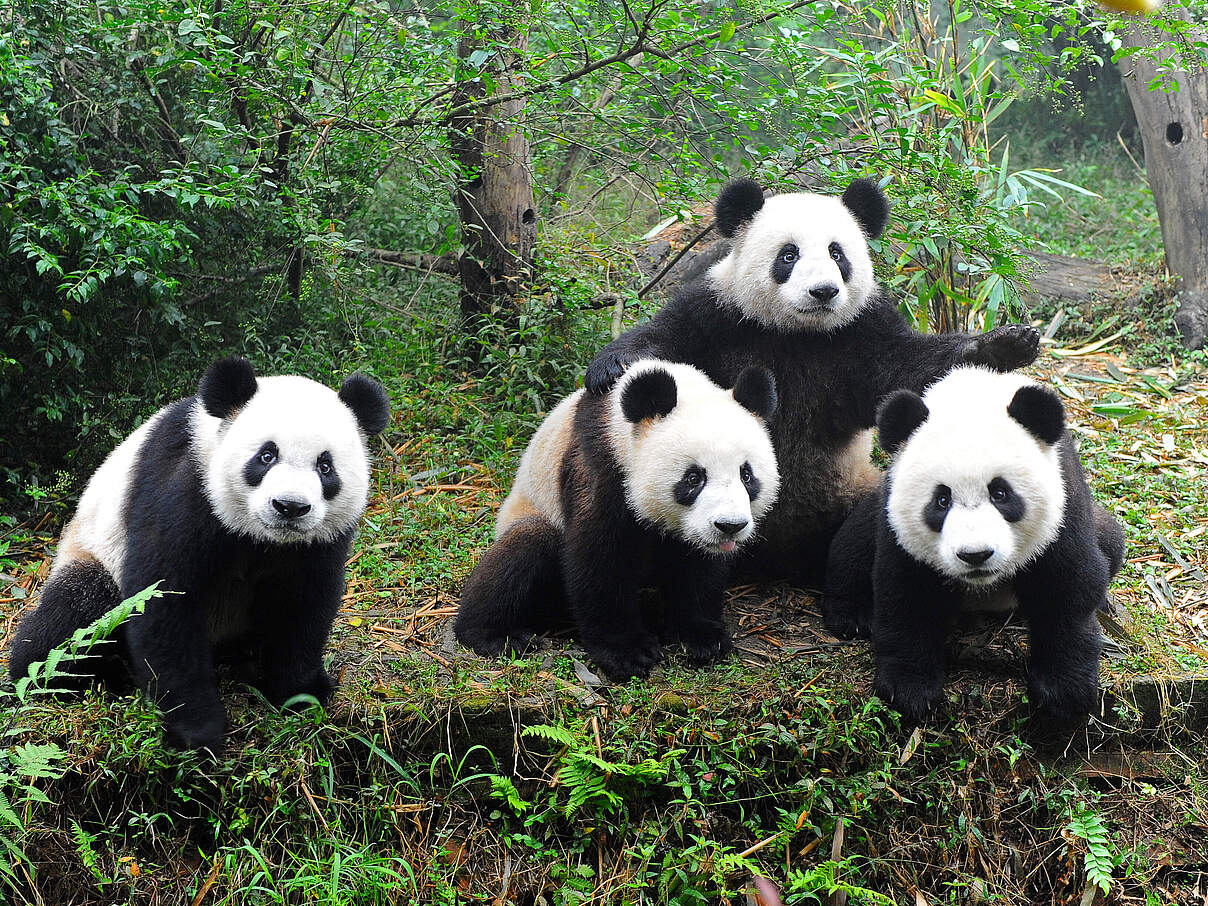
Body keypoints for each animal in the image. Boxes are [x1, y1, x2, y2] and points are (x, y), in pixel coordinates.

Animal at [7, 357, 390, 753]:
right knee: (75, 615)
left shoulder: (318, 542)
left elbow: (303, 605)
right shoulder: (185, 488)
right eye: (266, 456)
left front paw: (302, 693)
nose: (290, 506)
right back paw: (74, 676)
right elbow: (164, 602)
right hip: (93, 551)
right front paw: (197, 729)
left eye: (325, 467)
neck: (262, 537)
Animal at [455, 360, 780, 681]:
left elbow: (698, 568)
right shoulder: (601, 466)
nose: (730, 526)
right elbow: (600, 559)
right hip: (533, 512)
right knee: (524, 550)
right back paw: (493, 635)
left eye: (746, 475)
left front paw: (701, 637)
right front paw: (628, 653)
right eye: (693, 478)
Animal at [585, 177, 1041, 584]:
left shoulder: (860, 333)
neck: (798, 332)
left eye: (837, 254)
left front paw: (1006, 344)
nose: (823, 292)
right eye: (789, 255)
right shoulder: (720, 316)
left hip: (851, 489)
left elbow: (908, 368)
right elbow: (667, 339)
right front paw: (611, 368)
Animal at [823, 366, 1126, 729]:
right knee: (854, 544)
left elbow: (1068, 587)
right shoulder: (898, 526)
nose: (975, 555)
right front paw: (910, 690)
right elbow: (906, 594)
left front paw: (1064, 694)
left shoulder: (1064, 504)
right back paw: (851, 615)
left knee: (1111, 542)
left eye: (1000, 493)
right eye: (941, 500)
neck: (973, 396)